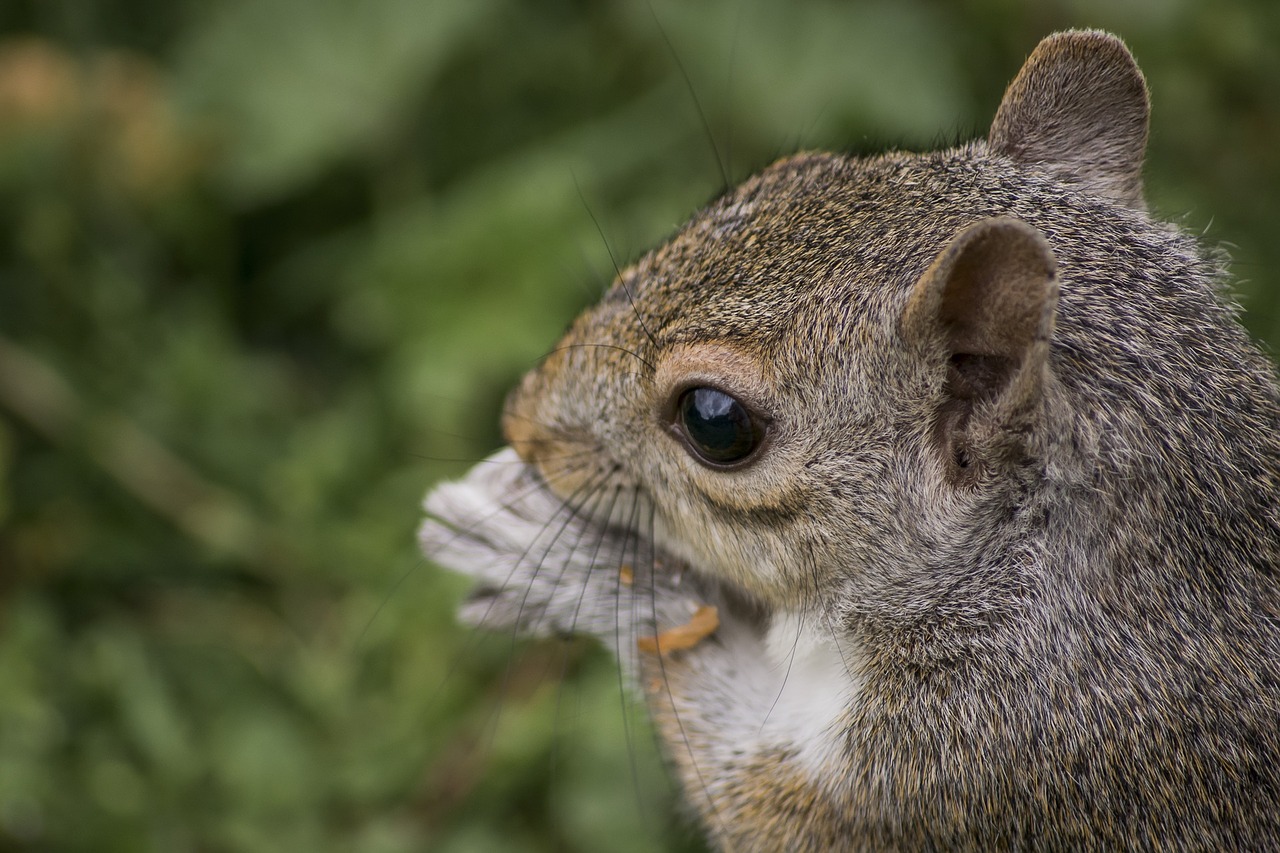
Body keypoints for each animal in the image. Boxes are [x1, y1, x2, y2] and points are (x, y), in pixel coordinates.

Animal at [417, 29, 1280, 845]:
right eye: (784, 174)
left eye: (714, 421)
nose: (523, 419)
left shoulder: (975, 766)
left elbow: (756, 800)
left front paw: (580, 568)